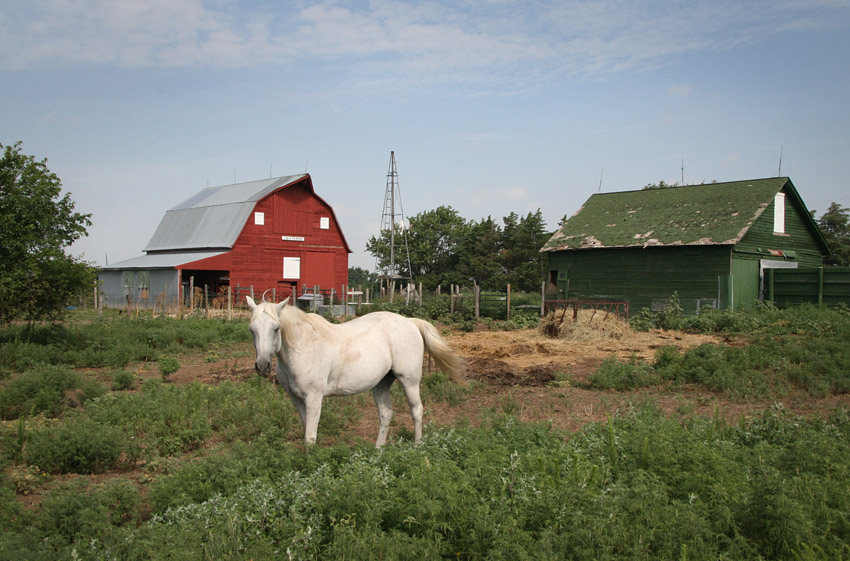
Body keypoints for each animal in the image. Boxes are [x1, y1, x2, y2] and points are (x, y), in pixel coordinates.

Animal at [245, 296, 464, 444]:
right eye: (251, 329)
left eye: (276, 328)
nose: (262, 366)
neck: (304, 346)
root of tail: (410, 322)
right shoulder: (296, 398)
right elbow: (306, 430)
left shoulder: (314, 398)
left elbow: (310, 436)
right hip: (381, 384)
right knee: (386, 414)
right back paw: (378, 450)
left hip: (409, 381)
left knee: (416, 410)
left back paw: (418, 446)